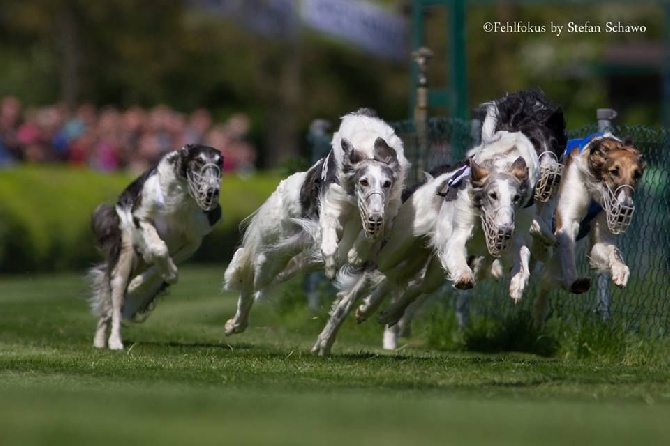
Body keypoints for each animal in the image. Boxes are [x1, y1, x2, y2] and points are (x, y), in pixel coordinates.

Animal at [88, 145, 224, 350]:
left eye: (219, 163)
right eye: (199, 161)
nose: (212, 191)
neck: (183, 198)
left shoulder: (194, 240)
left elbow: (164, 265)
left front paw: (161, 276)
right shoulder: (141, 215)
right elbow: (159, 248)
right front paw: (166, 271)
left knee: (113, 307)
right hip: (125, 259)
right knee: (115, 304)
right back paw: (111, 341)